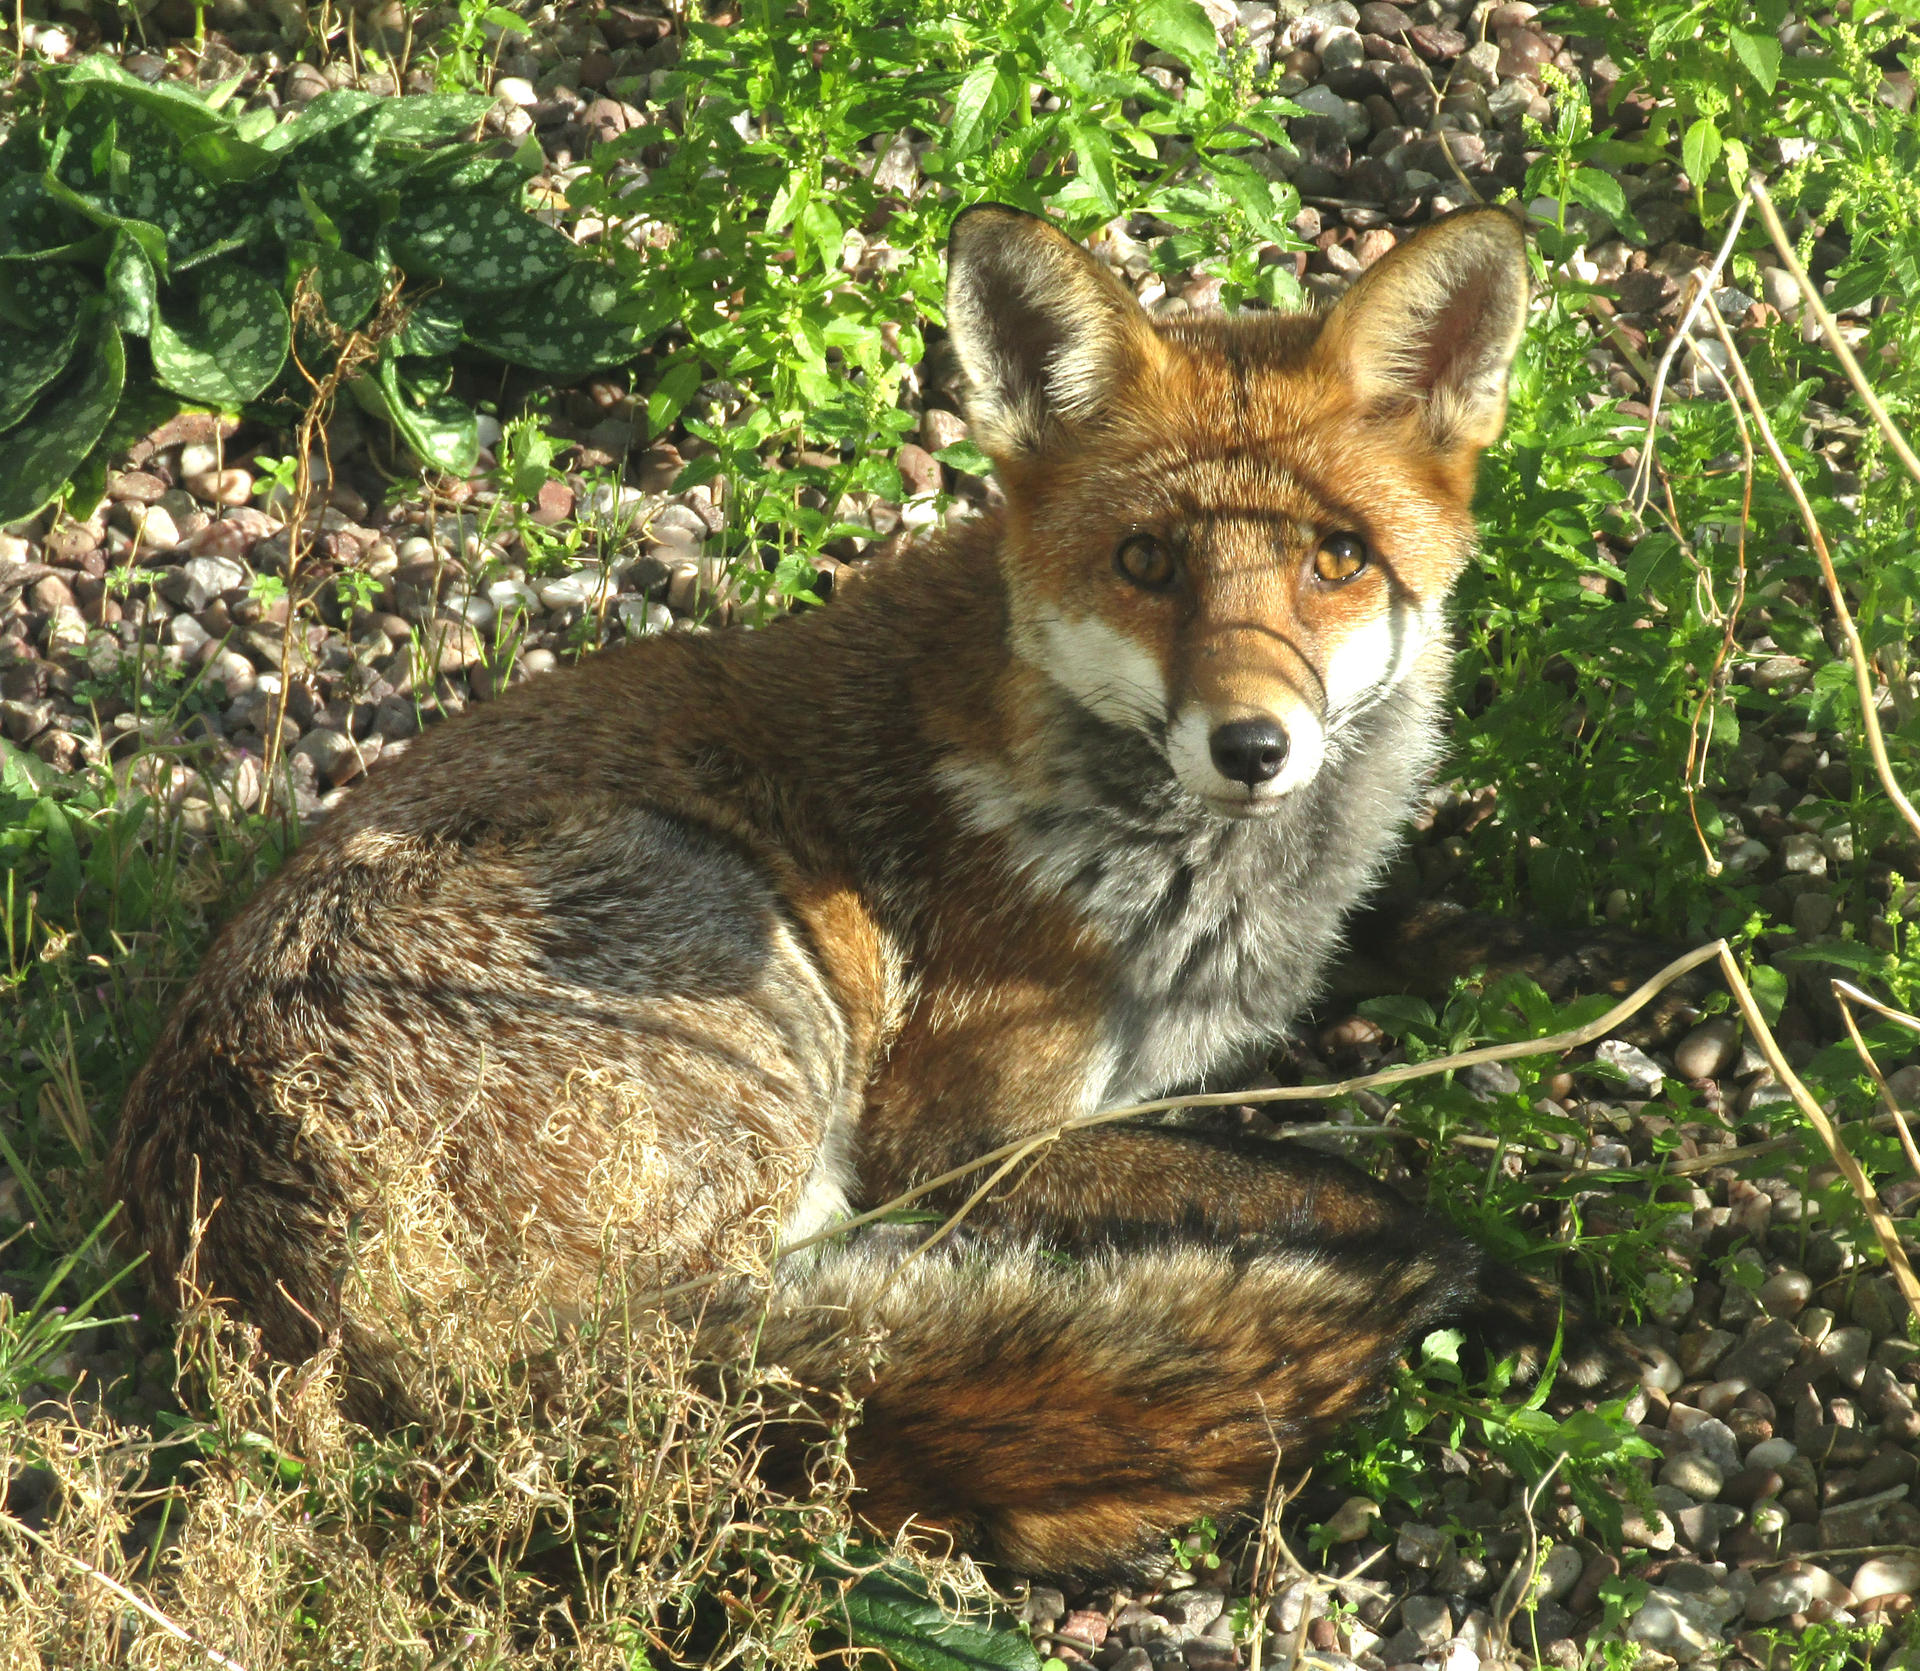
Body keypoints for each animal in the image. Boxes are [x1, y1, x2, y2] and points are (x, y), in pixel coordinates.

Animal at [108, 203, 1609, 1578]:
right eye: (1148, 564)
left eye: (1337, 559)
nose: (1253, 746)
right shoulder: (963, 1138)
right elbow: (1319, 1182)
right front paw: (1511, 1269)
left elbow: (1400, 934)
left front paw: (1531, 956)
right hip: (746, 973)